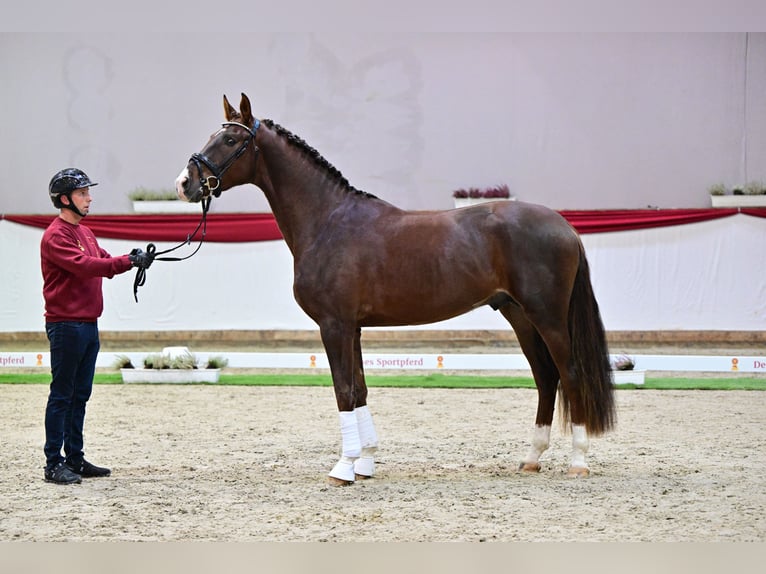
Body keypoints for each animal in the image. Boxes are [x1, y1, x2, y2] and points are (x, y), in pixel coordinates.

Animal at [176, 91, 616, 486]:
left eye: (229, 141)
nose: (185, 183)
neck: (328, 221)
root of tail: (565, 227)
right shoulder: (352, 328)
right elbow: (360, 390)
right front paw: (365, 463)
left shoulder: (334, 326)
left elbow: (343, 391)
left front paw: (343, 468)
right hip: (518, 314)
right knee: (546, 377)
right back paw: (531, 458)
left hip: (547, 316)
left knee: (569, 373)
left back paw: (578, 462)